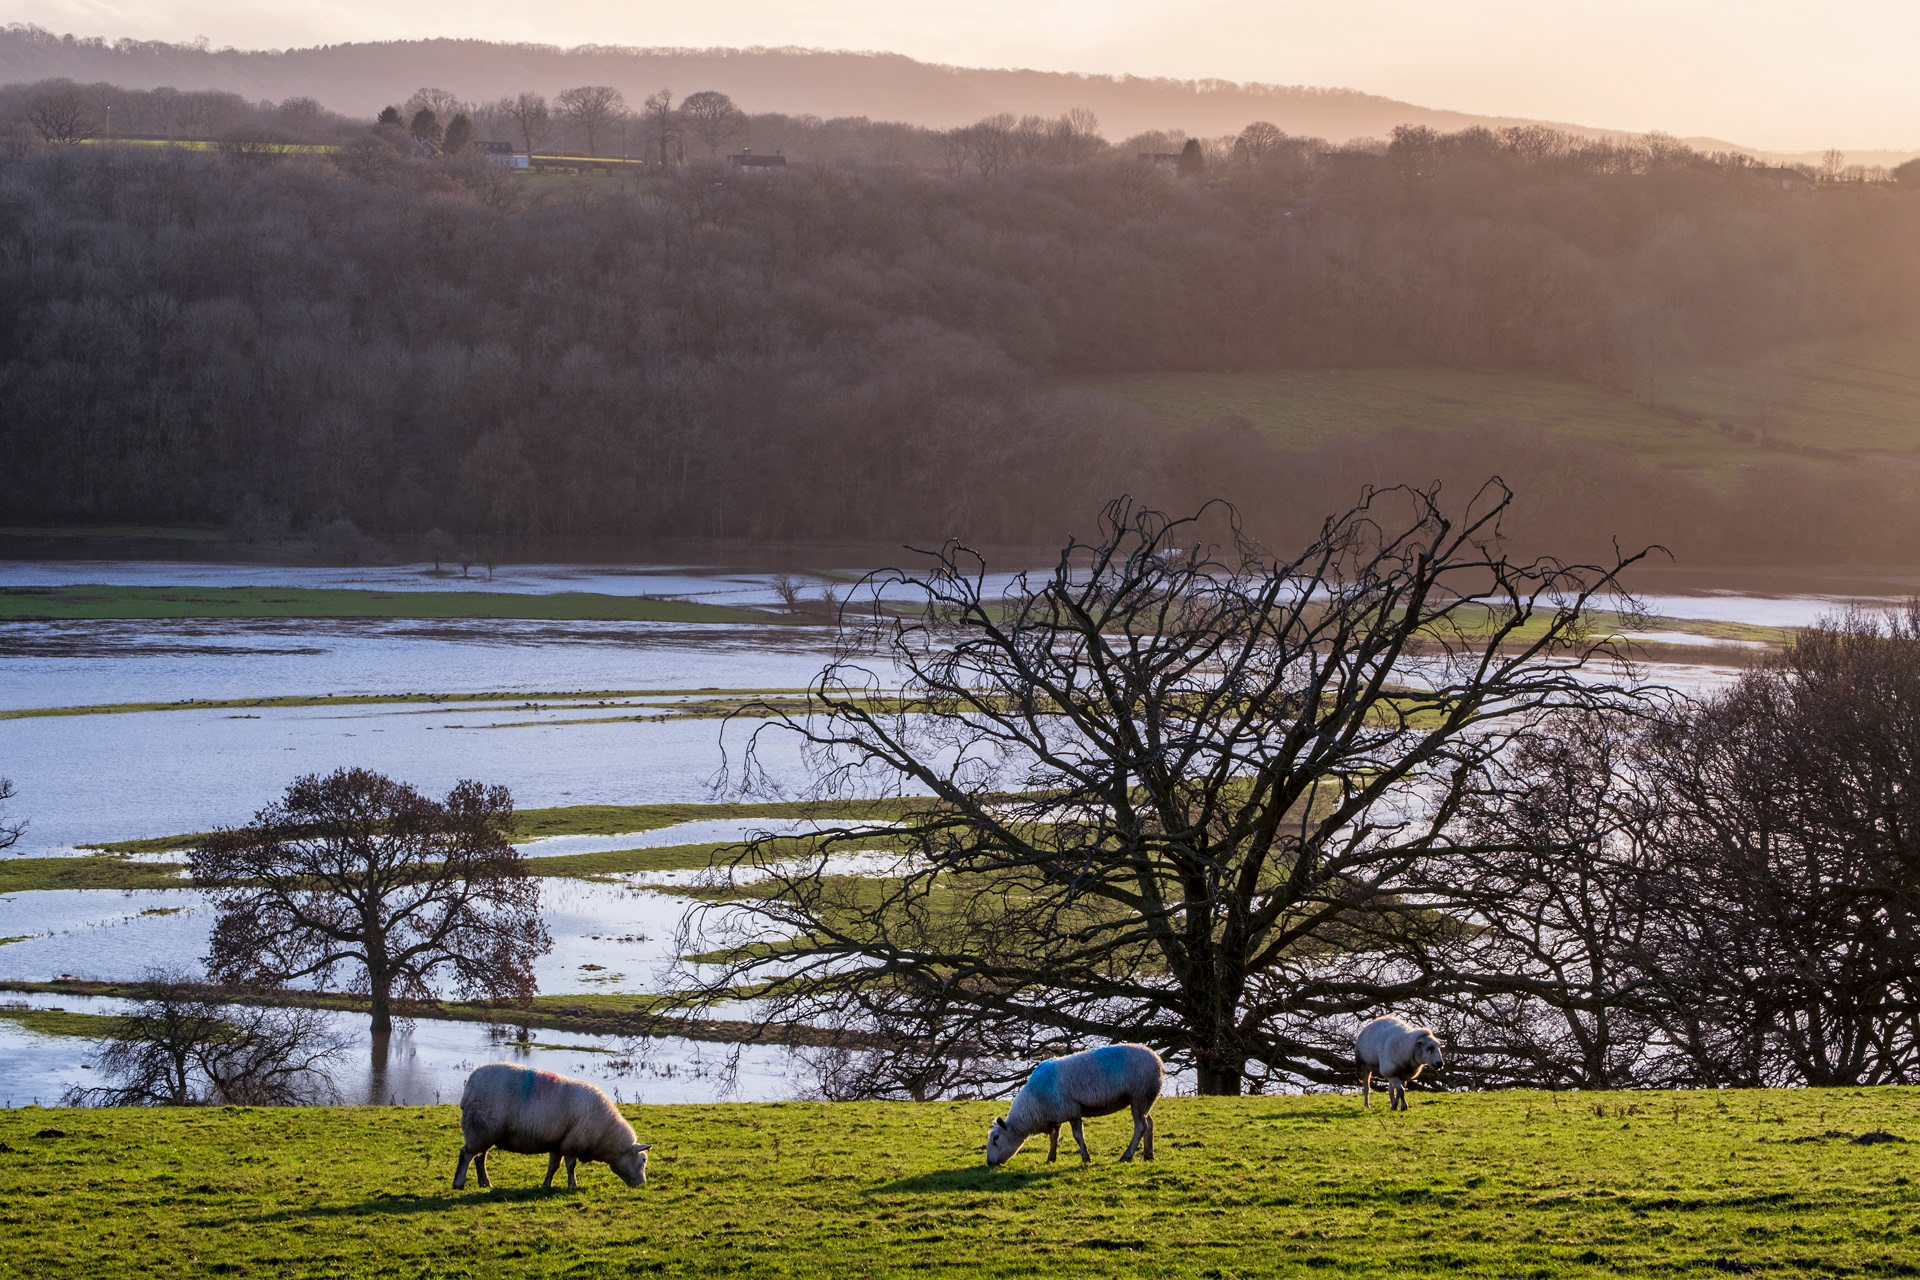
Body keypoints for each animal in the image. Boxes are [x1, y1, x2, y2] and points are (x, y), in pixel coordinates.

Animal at [452, 1063, 651, 1191]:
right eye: (643, 1160)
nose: (642, 1185)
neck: (606, 1135)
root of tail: (469, 1086)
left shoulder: (559, 1143)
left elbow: (553, 1166)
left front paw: (547, 1184)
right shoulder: (573, 1143)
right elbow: (571, 1166)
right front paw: (572, 1185)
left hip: (486, 1131)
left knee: (479, 1157)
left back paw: (485, 1183)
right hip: (480, 1128)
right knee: (466, 1155)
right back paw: (459, 1183)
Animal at [985, 1044, 1163, 1167]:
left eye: (996, 1138)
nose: (989, 1162)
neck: (1034, 1103)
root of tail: (1157, 1060)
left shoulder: (1072, 1110)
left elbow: (1078, 1136)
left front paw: (1086, 1158)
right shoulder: (1055, 1115)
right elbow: (1054, 1137)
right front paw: (1051, 1158)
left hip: (1139, 1094)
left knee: (1140, 1126)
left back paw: (1127, 1156)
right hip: (1145, 1098)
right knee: (1149, 1123)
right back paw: (1148, 1155)